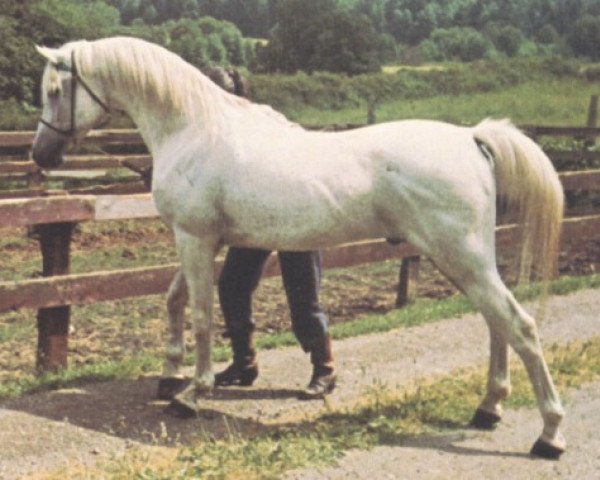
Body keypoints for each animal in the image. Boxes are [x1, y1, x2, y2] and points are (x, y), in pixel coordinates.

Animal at [32, 36, 568, 458]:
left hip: (463, 258)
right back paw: (488, 409)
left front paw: (192, 394)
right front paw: (170, 374)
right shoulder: (200, 240)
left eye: (55, 91)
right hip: (465, 262)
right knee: (497, 325)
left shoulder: (195, 238)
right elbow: (175, 300)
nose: (41, 155)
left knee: (520, 326)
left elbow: (202, 314)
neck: (192, 130)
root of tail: (471, 137)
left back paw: (549, 435)